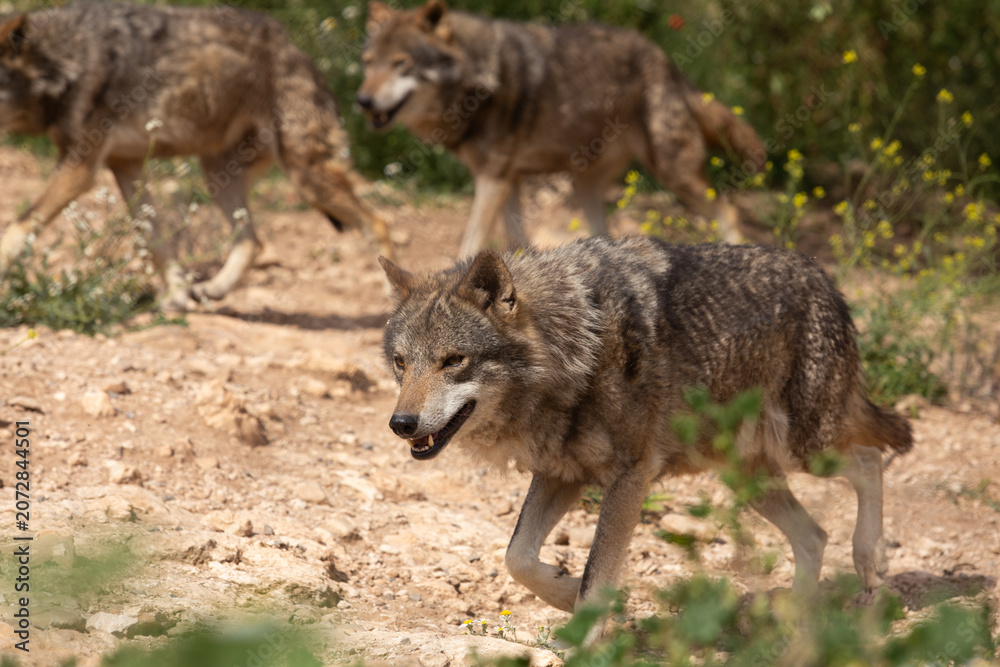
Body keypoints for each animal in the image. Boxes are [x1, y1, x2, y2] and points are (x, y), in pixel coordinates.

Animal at [0, 2, 392, 310]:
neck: (61, 59)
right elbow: (157, 243)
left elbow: (17, 226)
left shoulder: (81, 168)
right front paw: (177, 297)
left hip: (305, 177)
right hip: (218, 176)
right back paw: (214, 289)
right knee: (253, 240)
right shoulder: (125, 165)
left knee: (379, 225)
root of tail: (296, 47)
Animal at [359, 0, 766, 256]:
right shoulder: (508, 180)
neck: (477, 77)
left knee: (728, 210)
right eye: (368, 63)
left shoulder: (493, 179)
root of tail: (667, 61)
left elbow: (470, 244)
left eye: (401, 64)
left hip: (673, 172)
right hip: (586, 187)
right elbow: (517, 243)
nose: (363, 100)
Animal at [380, 236, 913, 621]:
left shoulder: (630, 477)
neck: (578, 346)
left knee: (869, 461)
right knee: (815, 535)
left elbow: (596, 578)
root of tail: (825, 278)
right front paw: (564, 592)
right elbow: (518, 558)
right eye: (401, 363)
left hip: (805, 448)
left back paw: (870, 562)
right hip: (746, 475)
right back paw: (795, 618)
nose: (401, 424)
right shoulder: (560, 474)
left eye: (454, 361)